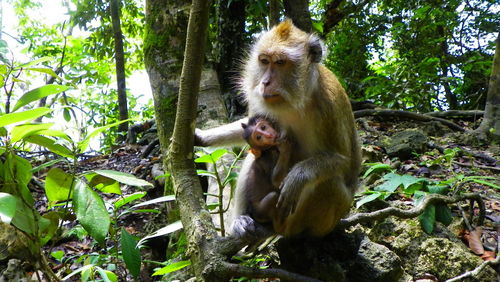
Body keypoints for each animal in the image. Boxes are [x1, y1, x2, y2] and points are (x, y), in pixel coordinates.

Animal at [194, 19, 360, 239]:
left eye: (280, 62)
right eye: (264, 61)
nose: (265, 82)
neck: (295, 100)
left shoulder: (328, 105)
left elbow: (343, 160)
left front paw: (297, 178)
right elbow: (248, 129)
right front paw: (202, 137)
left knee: (329, 183)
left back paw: (284, 226)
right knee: (255, 158)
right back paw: (242, 220)